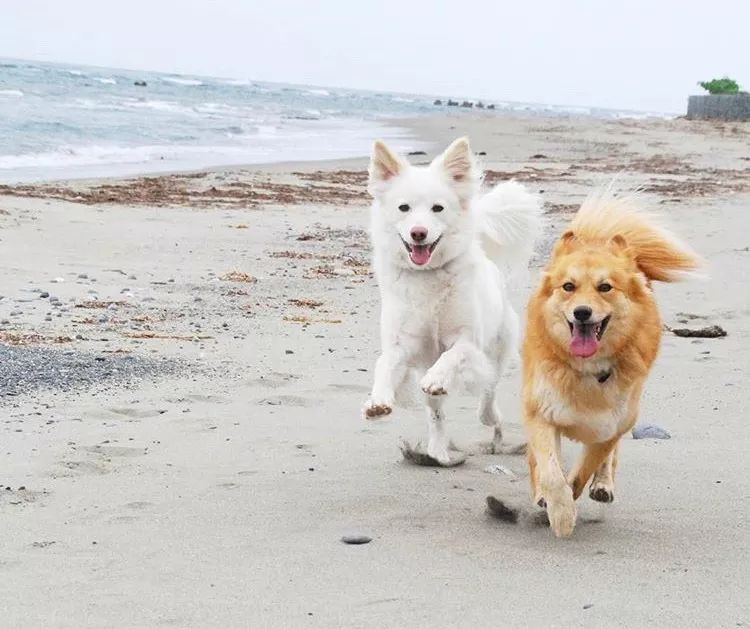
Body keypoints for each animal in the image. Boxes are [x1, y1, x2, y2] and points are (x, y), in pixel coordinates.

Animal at [362, 137, 540, 464]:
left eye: (438, 208)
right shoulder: (401, 345)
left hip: (498, 349)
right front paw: (378, 401)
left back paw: (490, 421)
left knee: (489, 389)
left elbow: (452, 357)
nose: (418, 233)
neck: (427, 275)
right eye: (403, 208)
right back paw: (438, 451)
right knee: (437, 416)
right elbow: (385, 365)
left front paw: (437, 378)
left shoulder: (467, 340)